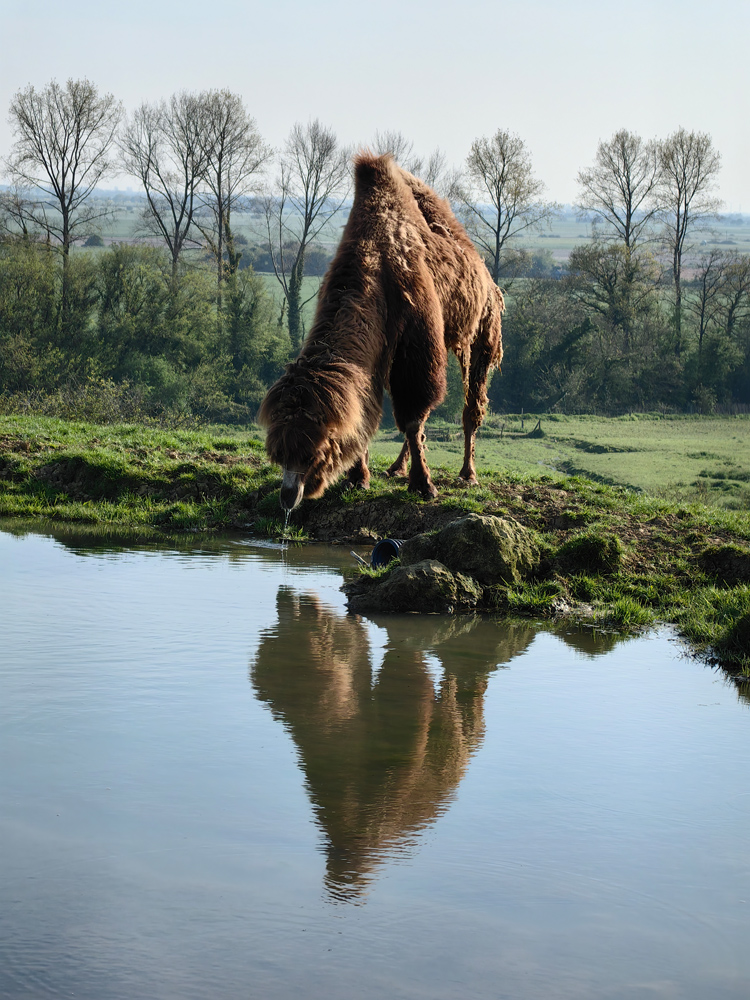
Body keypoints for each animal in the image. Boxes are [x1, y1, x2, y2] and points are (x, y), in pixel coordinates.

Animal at [258, 152, 506, 512]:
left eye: (313, 452)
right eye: (279, 453)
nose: (288, 497)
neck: (375, 265)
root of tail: (482, 267)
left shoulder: (416, 339)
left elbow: (413, 414)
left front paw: (424, 485)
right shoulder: (374, 352)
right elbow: (368, 413)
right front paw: (358, 478)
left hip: (484, 327)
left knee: (472, 402)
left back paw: (467, 473)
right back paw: (395, 468)